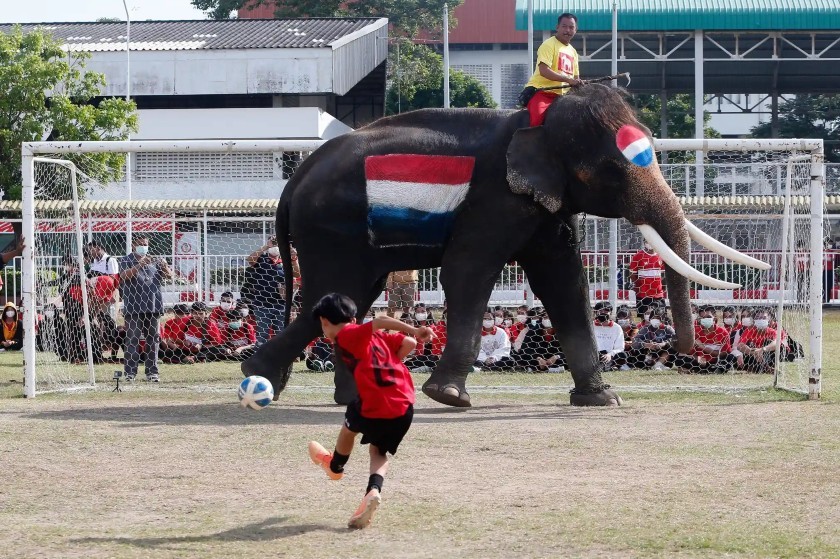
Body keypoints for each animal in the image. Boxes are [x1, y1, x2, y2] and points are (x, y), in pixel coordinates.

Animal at [243, 83, 768, 406]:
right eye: (611, 169)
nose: (682, 348)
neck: (536, 122)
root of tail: (296, 179)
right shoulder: (497, 198)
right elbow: (468, 269)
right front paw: (449, 398)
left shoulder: (545, 204)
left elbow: (564, 279)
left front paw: (602, 400)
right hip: (333, 227)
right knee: (332, 295)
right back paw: (260, 378)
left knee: (351, 298)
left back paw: (343, 397)